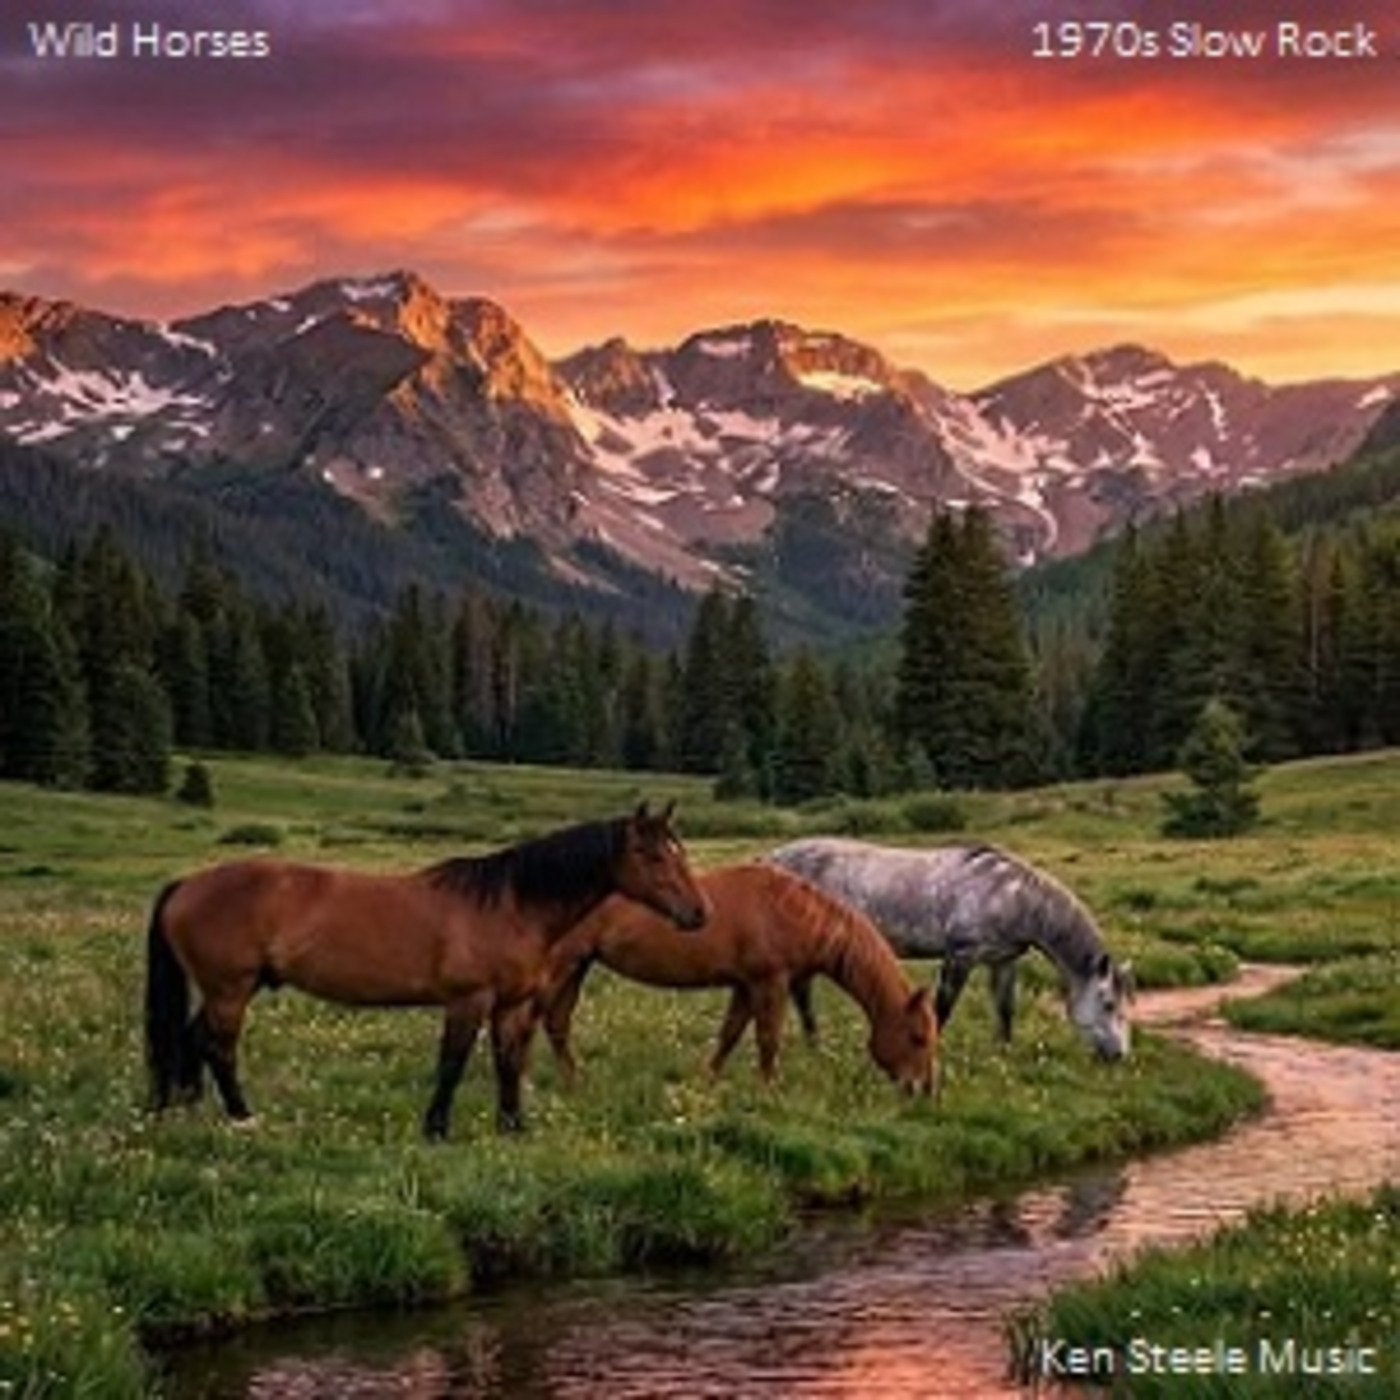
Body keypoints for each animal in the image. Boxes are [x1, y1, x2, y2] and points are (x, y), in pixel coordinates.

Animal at [144, 802, 708, 1140]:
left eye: (678, 850)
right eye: (652, 855)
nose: (699, 914)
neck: (509, 905)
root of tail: (186, 884)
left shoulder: (512, 1005)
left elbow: (509, 1062)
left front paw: (513, 1126)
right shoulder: (468, 1000)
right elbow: (452, 1064)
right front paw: (436, 1129)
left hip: (230, 989)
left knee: (191, 1038)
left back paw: (186, 1108)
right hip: (230, 989)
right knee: (219, 1047)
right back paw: (243, 1117)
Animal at [532, 862, 938, 1096]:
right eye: (917, 1037)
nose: (922, 1090)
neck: (791, 911)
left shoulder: (745, 986)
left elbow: (730, 1035)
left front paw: (707, 1083)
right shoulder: (770, 982)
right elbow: (768, 1039)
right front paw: (768, 1091)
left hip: (578, 967)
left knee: (557, 1023)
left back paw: (574, 1082)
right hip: (563, 966)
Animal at [764, 838, 1133, 1060]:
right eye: (1108, 1003)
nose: (1119, 1056)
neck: (1012, 896)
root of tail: (770, 859)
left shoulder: (1003, 961)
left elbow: (1005, 1008)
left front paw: (1004, 1054)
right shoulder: (960, 957)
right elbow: (942, 1009)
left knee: (800, 992)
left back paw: (814, 1046)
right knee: (799, 993)